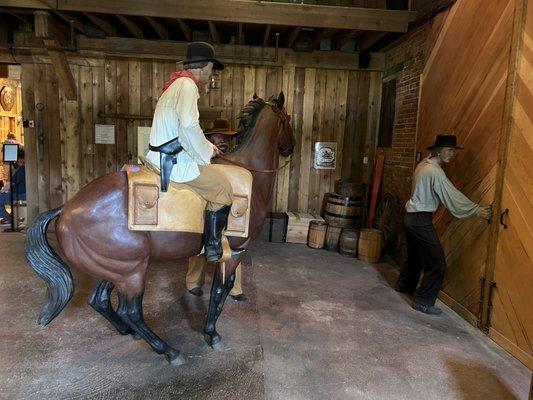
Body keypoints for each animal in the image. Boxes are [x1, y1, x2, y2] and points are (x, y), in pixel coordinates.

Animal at [26, 92, 296, 364]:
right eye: (288, 119)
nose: (291, 147)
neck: (250, 176)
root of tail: (66, 209)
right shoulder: (235, 253)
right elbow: (220, 290)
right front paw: (212, 334)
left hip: (114, 269)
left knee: (99, 300)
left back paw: (129, 332)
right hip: (133, 271)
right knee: (131, 311)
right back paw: (169, 350)